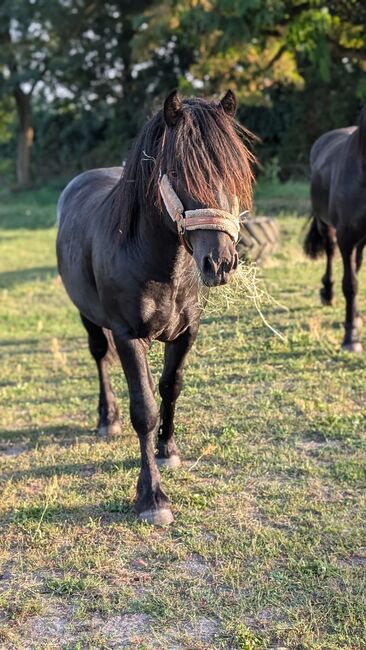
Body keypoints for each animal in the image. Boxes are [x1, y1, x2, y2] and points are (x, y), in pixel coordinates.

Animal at [57, 91, 254, 524]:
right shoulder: (128, 336)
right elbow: (143, 409)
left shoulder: (186, 332)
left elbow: (170, 387)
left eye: (234, 172)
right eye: (178, 173)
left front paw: (168, 450)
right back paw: (106, 420)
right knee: (99, 356)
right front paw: (152, 498)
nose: (220, 263)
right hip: (88, 315)